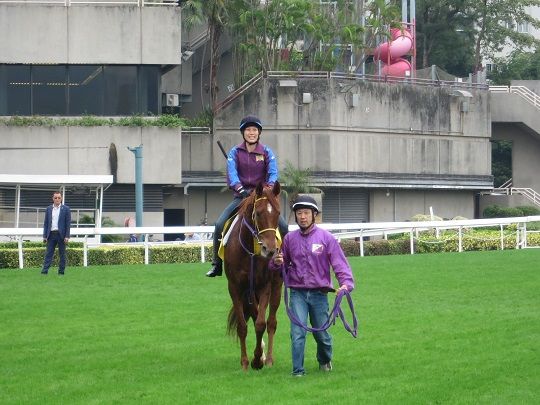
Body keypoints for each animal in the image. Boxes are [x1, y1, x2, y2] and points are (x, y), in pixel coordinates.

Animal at [224, 181, 282, 368]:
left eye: (278, 213)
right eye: (258, 213)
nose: (270, 250)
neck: (249, 251)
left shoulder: (265, 285)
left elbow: (261, 323)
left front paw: (257, 359)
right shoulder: (235, 287)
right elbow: (243, 326)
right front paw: (245, 362)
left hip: (276, 286)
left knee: (271, 322)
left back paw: (268, 358)